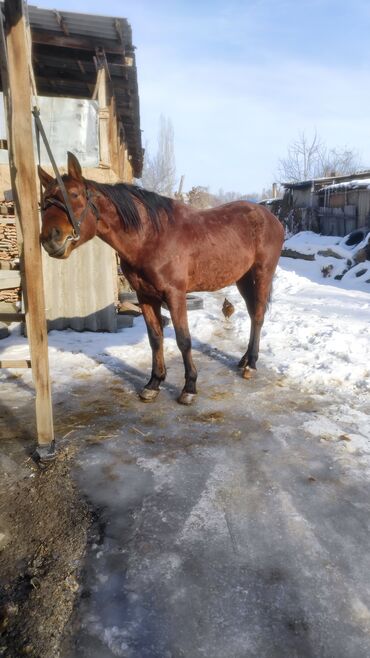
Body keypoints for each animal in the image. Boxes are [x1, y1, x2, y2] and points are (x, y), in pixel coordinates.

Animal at [39, 151, 284, 402]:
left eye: (74, 194)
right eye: (43, 202)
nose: (50, 239)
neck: (151, 237)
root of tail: (269, 216)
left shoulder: (175, 295)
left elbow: (183, 340)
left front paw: (189, 387)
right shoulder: (145, 295)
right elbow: (155, 338)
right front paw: (154, 383)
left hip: (262, 273)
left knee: (258, 315)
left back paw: (251, 365)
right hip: (243, 278)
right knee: (253, 313)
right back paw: (244, 359)